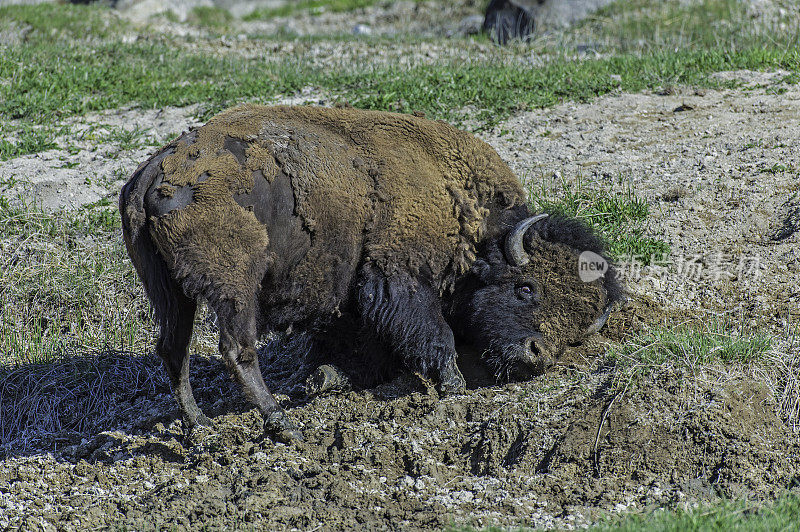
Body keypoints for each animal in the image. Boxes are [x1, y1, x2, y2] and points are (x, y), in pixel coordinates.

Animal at [119, 105, 620, 440]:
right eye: (525, 288)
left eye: (574, 322)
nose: (538, 354)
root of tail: (155, 171)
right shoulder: (399, 277)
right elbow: (432, 335)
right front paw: (453, 386)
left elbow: (364, 357)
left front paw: (323, 378)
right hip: (234, 286)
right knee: (235, 349)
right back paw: (283, 425)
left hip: (169, 292)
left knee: (174, 349)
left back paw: (201, 426)